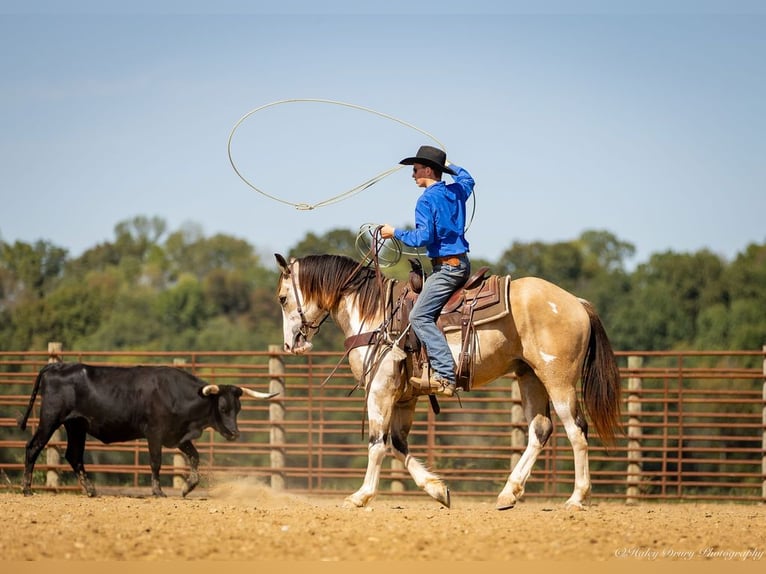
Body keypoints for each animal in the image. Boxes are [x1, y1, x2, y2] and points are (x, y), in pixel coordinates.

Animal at [17, 364, 280, 500]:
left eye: (239, 408)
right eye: (223, 408)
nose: (235, 433)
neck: (177, 394)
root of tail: (56, 366)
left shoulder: (178, 436)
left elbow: (195, 457)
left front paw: (187, 487)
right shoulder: (155, 433)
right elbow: (156, 463)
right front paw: (158, 491)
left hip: (76, 426)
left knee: (74, 455)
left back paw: (91, 490)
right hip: (51, 419)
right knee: (33, 448)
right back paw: (27, 489)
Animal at [276, 254, 624, 510]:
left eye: (282, 298)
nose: (291, 344)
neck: (374, 313)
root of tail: (576, 303)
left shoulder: (380, 389)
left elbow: (377, 443)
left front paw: (361, 496)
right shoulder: (405, 397)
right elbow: (397, 444)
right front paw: (437, 490)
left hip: (559, 380)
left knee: (576, 431)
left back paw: (577, 498)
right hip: (529, 377)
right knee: (540, 430)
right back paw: (508, 493)